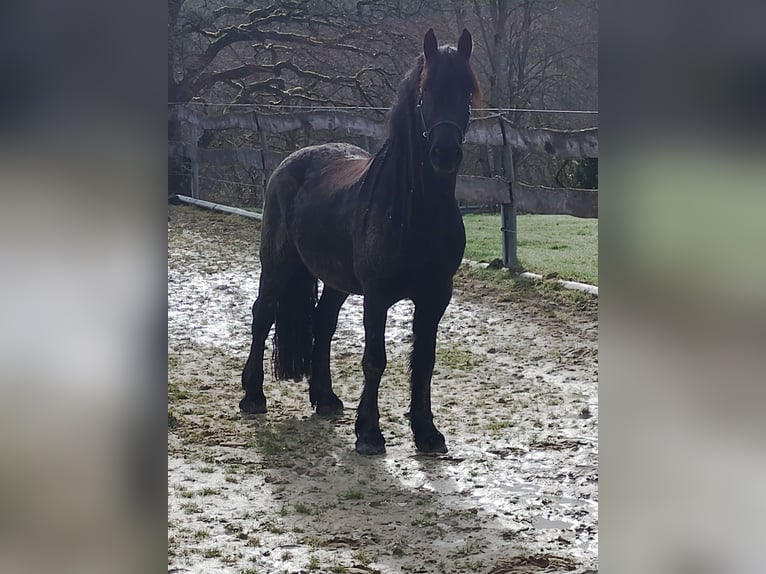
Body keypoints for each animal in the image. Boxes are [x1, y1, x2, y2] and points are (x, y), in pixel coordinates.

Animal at [240, 28, 481, 455]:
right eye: (426, 91)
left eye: (467, 91)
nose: (445, 153)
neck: (414, 211)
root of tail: (291, 161)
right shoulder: (377, 295)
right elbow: (375, 359)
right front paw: (369, 433)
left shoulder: (436, 296)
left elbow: (424, 362)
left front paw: (426, 432)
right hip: (278, 264)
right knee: (262, 314)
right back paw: (253, 395)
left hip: (335, 281)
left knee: (323, 323)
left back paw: (325, 399)